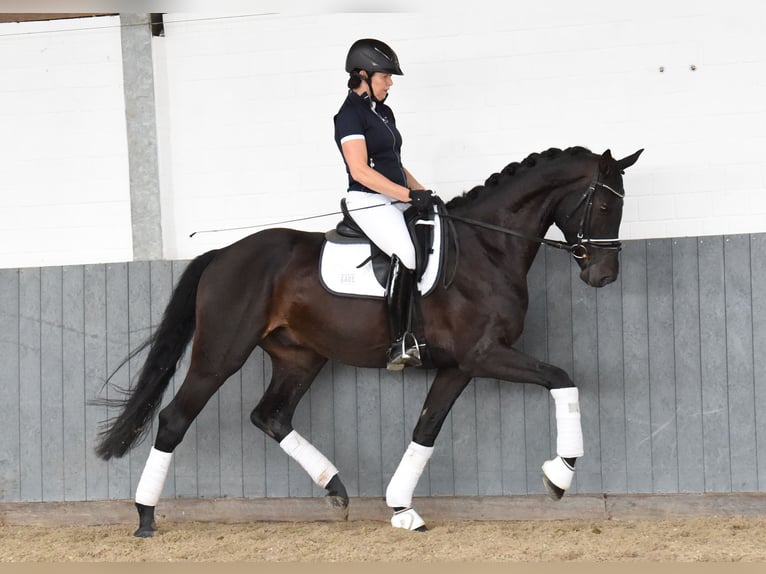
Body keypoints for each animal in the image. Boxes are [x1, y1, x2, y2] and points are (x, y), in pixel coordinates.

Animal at [96, 146, 648, 536]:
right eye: (604, 202)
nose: (604, 275)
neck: (486, 248)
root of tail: (224, 254)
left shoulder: (459, 366)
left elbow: (425, 430)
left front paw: (402, 509)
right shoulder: (484, 354)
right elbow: (562, 378)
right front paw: (561, 474)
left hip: (300, 357)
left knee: (270, 415)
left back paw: (336, 490)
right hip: (221, 354)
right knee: (175, 418)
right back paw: (145, 518)